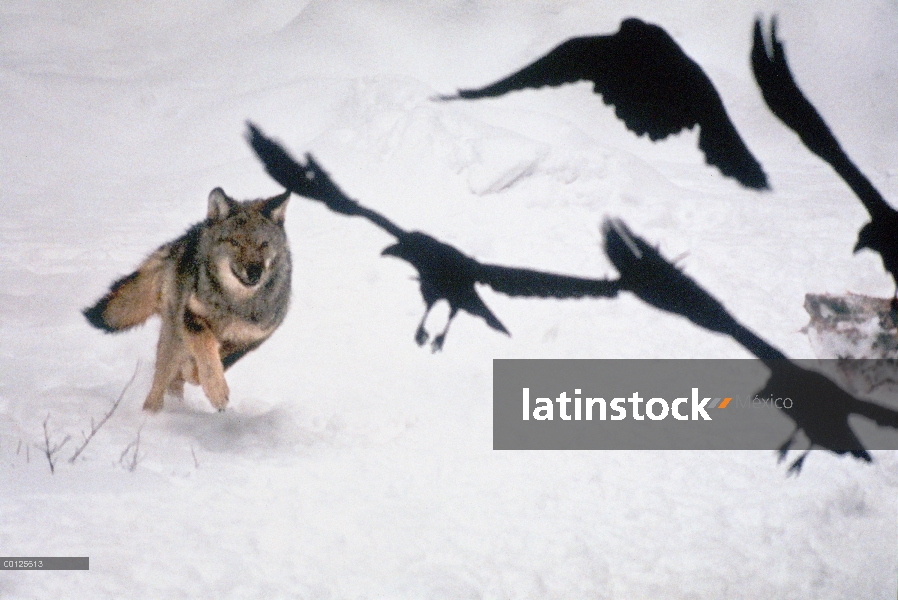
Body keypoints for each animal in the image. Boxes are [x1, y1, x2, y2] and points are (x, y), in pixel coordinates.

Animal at [83, 188, 290, 412]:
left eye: (264, 244)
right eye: (235, 243)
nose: (254, 272)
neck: (234, 303)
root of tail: (185, 238)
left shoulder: (251, 339)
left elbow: (220, 361)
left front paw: (197, 376)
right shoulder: (191, 317)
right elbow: (206, 352)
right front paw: (216, 390)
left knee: (175, 380)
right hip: (173, 336)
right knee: (160, 381)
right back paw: (151, 414)